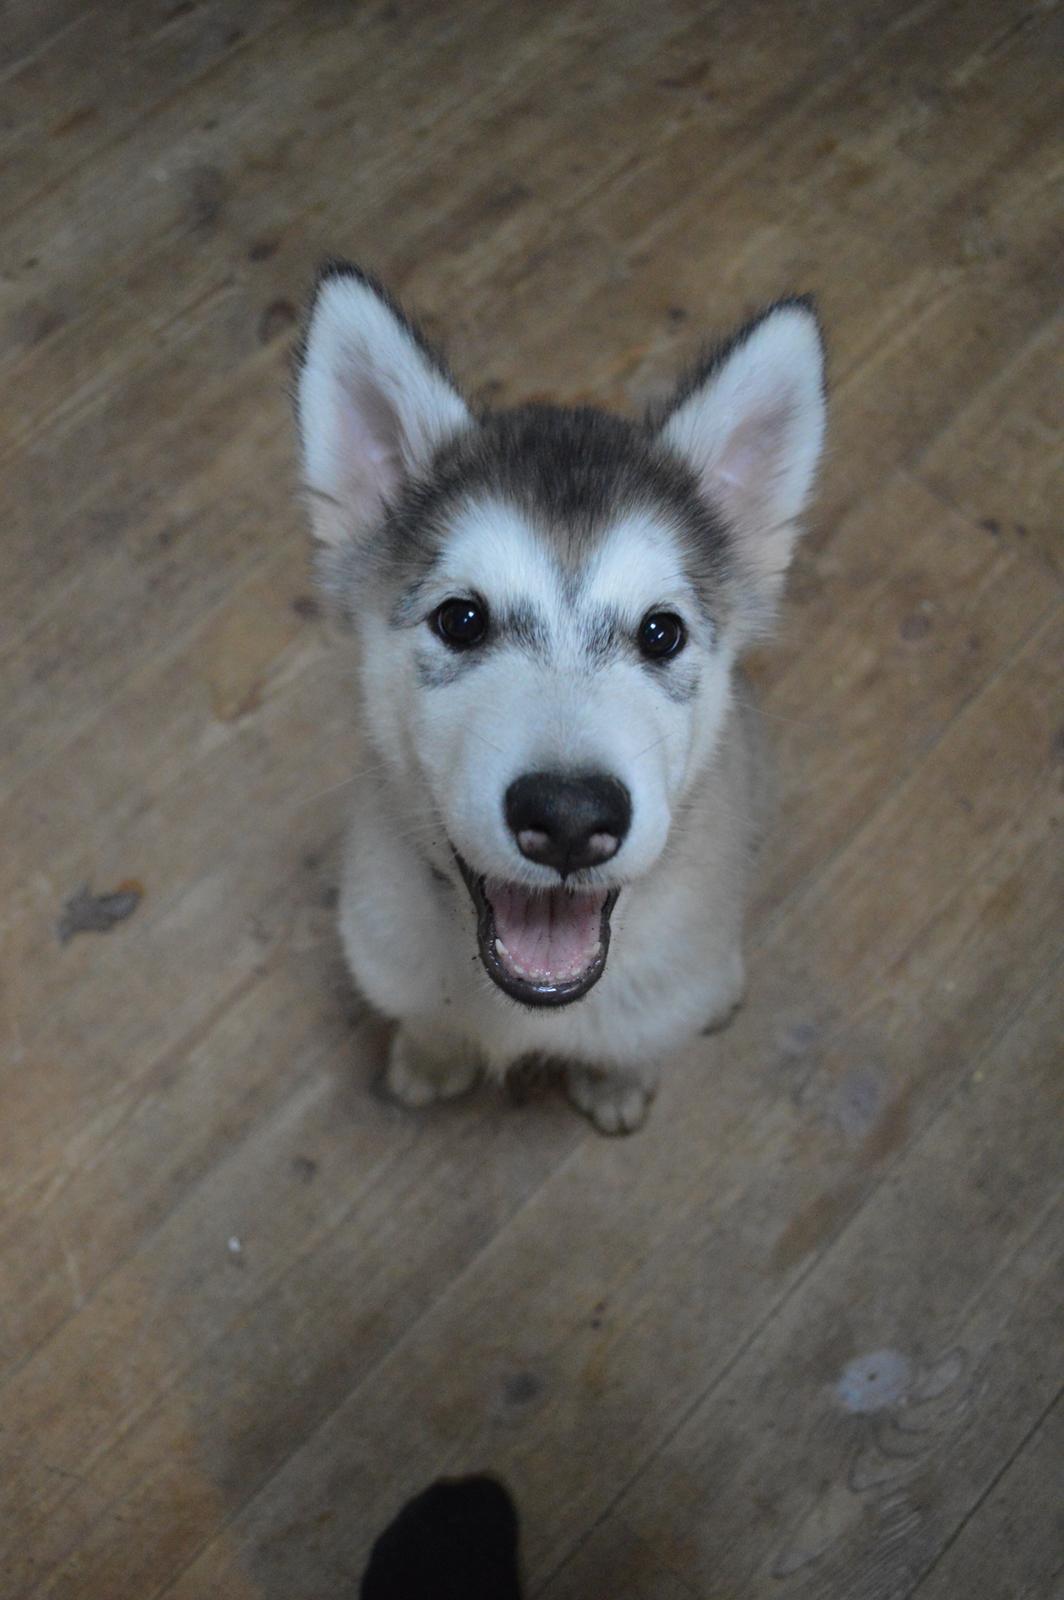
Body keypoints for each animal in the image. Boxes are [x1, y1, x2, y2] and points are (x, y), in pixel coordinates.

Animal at [294, 265, 825, 1139]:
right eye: (461, 619)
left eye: (661, 633)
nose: (572, 818)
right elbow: (427, 1018)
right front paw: (430, 1056)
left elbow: (639, 1040)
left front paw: (617, 1082)